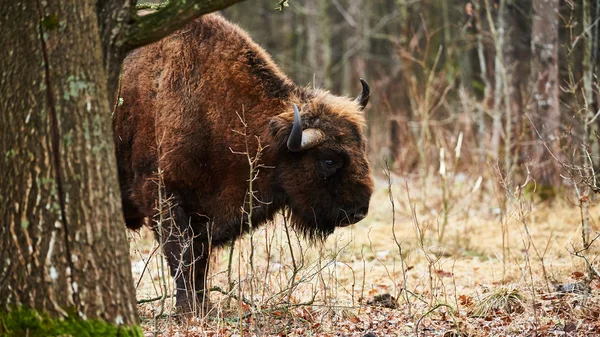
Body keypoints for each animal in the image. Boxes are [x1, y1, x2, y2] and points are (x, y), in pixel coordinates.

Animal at [113, 14, 372, 312]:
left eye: (361, 147)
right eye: (329, 159)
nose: (359, 210)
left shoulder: (204, 216)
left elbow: (200, 262)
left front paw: (204, 306)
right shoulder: (164, 199)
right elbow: (182, 258)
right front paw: (187, 310)